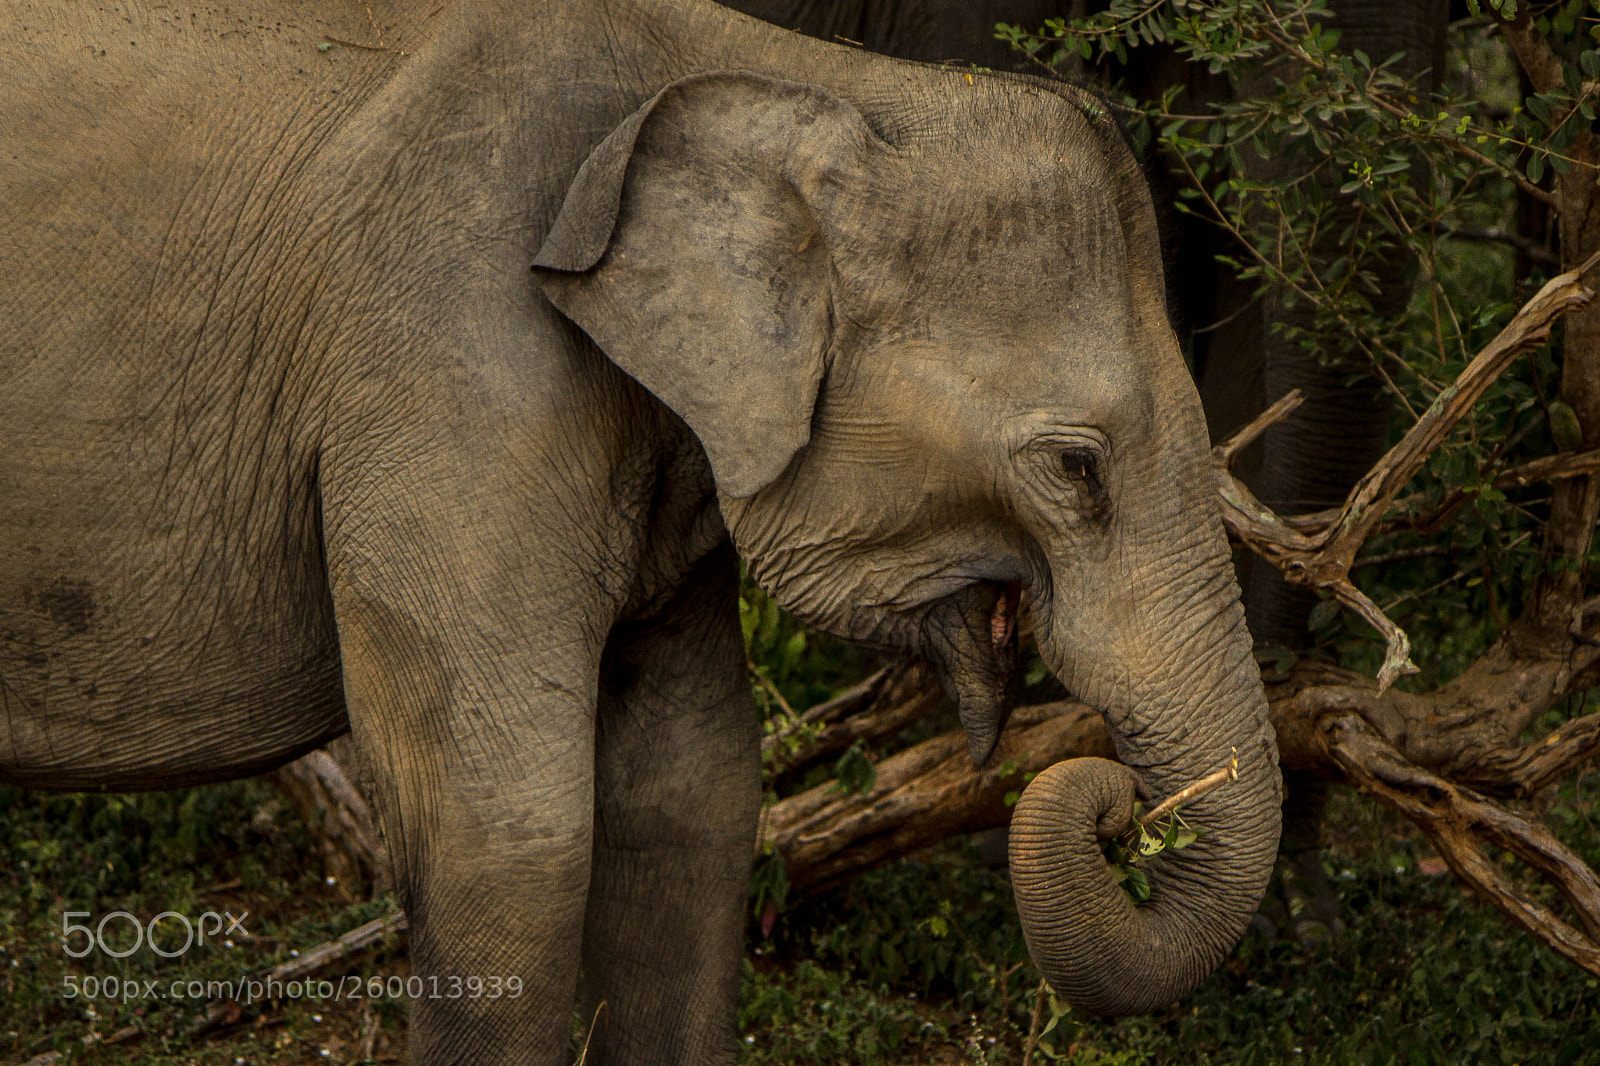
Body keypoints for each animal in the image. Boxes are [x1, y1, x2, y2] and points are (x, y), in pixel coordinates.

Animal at [1, 0, 1282, 1061]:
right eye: (1076, 467)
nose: (1112, 806)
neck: (787, 71)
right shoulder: (450, 379)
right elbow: (513, 832)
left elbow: (692, 797)